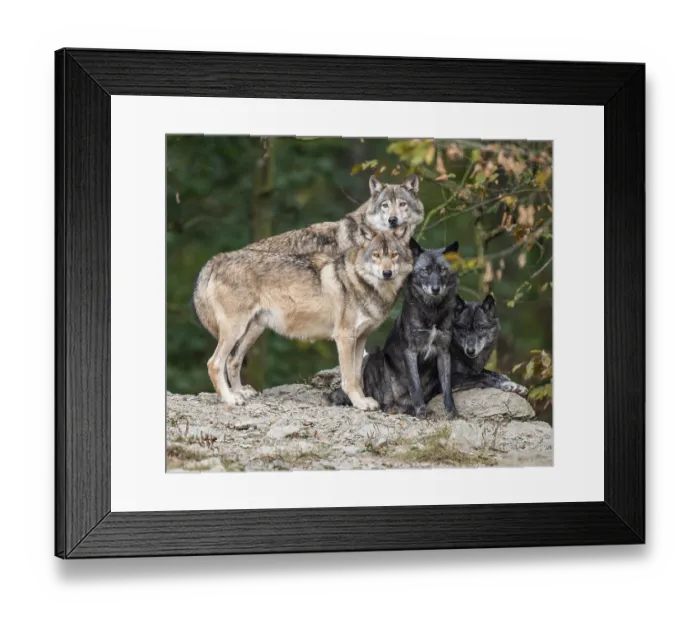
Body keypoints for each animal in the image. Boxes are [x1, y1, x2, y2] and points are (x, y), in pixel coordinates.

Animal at [193, 226, 413, 410]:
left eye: (394, 255)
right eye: (376, 255)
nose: (387, 273)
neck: (362, 283)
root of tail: (219, 258)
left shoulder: (360, 339)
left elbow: (358, 375)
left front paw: (362, 400)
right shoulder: (344, 338)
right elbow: (350, 378)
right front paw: (359, 403)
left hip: (253, 331)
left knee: (233, 361)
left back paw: (240, 392)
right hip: (235, 331)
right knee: (214, 363)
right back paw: (231, 398)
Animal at [330, 239, 460, 417]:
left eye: (442, 270)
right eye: (425, 270)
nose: (435, 289)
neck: (431, 312)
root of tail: (400, 402)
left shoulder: (444, 352)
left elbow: (447, 388)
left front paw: (451, 411)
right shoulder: (410, 351)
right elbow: (415, 385)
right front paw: (421, 410)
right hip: (375, 357)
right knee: (383, 399)